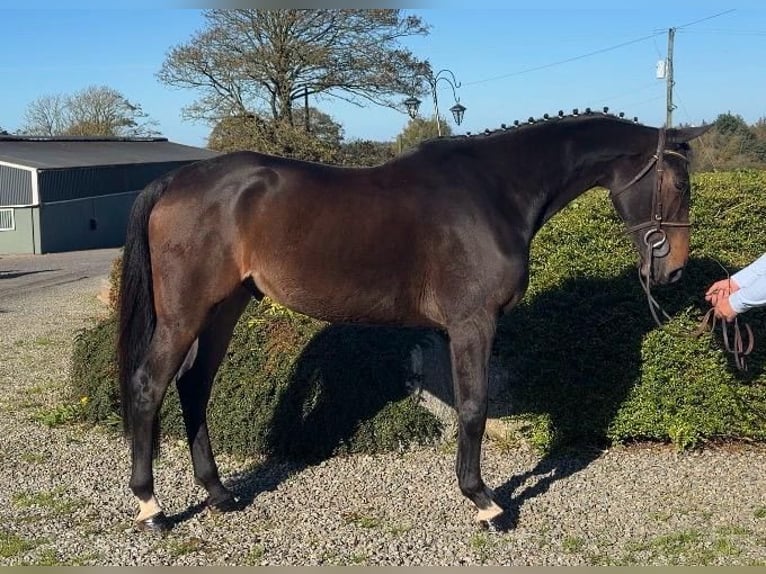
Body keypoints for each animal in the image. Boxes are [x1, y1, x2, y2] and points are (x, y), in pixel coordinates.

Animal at [117, 110, 710, 532]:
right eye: (680, 184)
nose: (675, 270)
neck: (494, 192)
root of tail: (176, 180)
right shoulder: (473, 323)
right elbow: (473, 410)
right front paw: (485, 503)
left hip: (225, 307)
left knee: (194, 387)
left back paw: (219, 494)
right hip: (186, 313)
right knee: (149, 387)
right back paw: (152, 508)